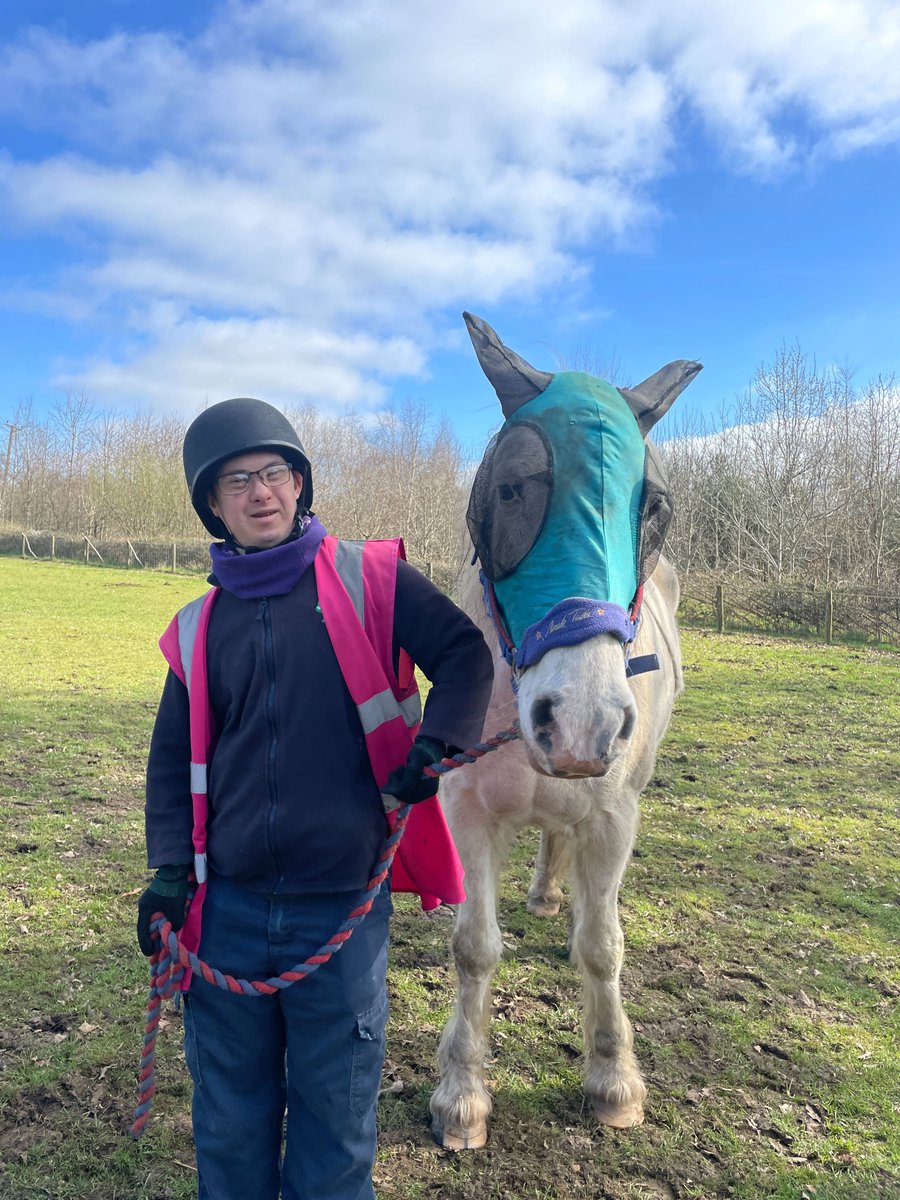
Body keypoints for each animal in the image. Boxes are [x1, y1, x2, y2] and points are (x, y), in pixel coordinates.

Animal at [429, 313, 701, 1149]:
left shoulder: (613, 817)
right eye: (512, 487)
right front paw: (462, 1093)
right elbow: (474, 949)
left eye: (656, 508)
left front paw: (613, 1079)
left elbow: (602, 949)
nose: (582, 720)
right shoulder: (467, 811)